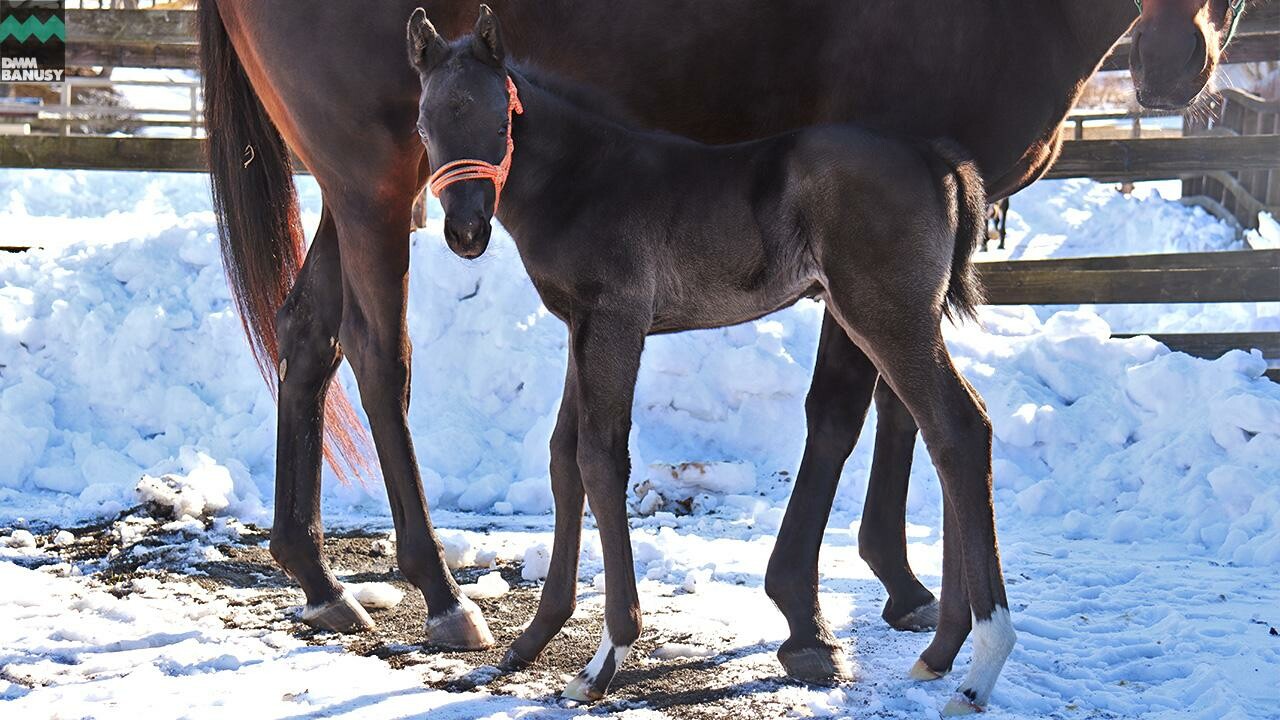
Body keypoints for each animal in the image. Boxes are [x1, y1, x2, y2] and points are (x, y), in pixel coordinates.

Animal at [409, 8, 1008, 707]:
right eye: (425, 125)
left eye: (498, 121)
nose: (465, 232)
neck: (582, 179)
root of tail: (936, 155)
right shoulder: (579, 327)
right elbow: (563, 457)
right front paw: (532, 640)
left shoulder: (616, 322)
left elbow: (600, 459)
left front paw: (604, 658)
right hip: (905, 320)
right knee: (950, 429)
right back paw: (942, 650)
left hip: (887, 318)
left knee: (956, 426)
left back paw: (979, 666)